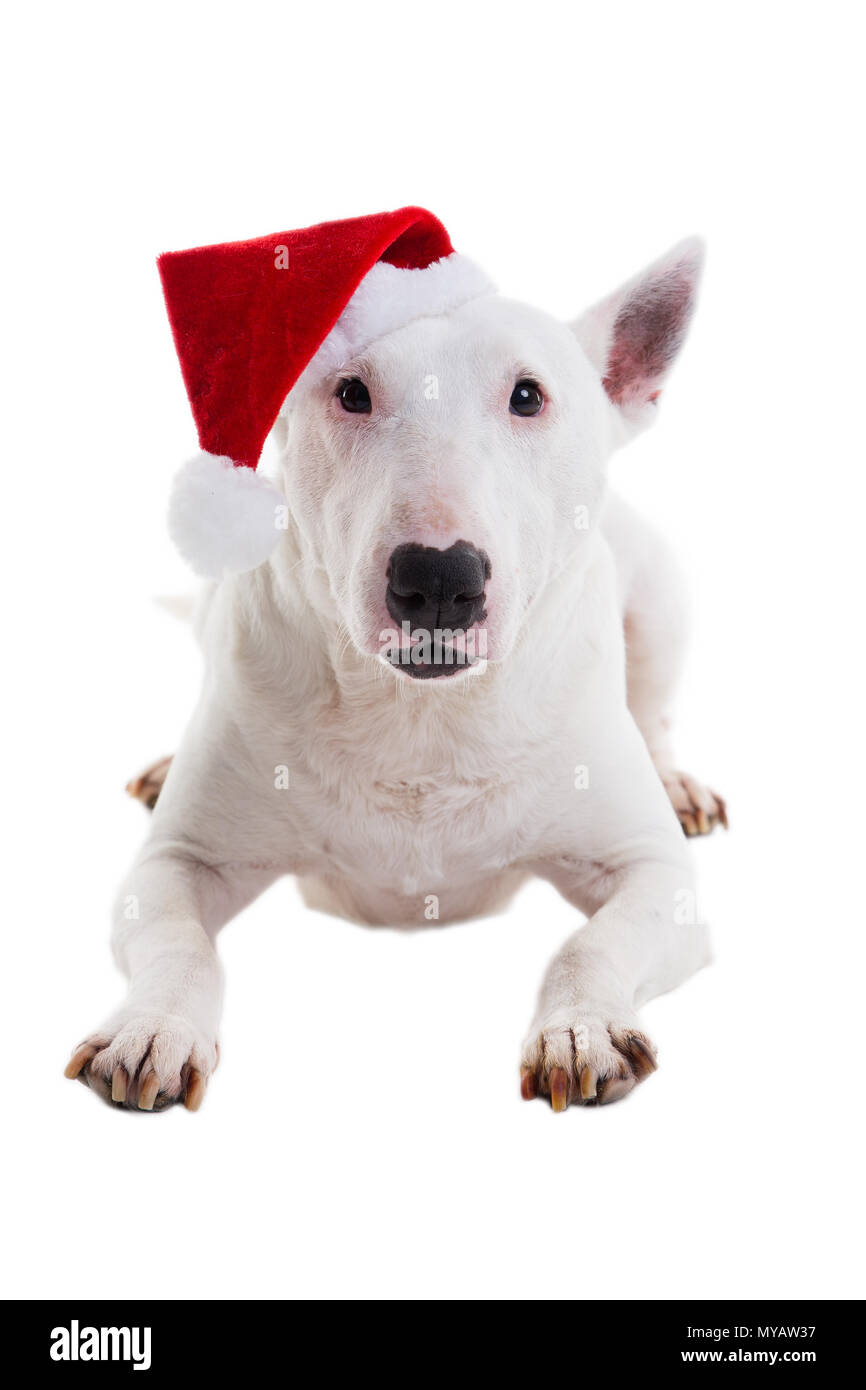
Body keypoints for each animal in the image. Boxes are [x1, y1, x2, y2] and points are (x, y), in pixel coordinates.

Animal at [66, 222, 722, 1112]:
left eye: (528, 396)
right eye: (352, 392)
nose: (439, 580)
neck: (421, 721)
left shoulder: (653, 874)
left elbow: (592, 943)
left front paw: (580, 1030)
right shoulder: (175, 863)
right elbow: (179, 942)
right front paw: (151, 1029)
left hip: (657, 590)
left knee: (652, 707)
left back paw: (675, 778)